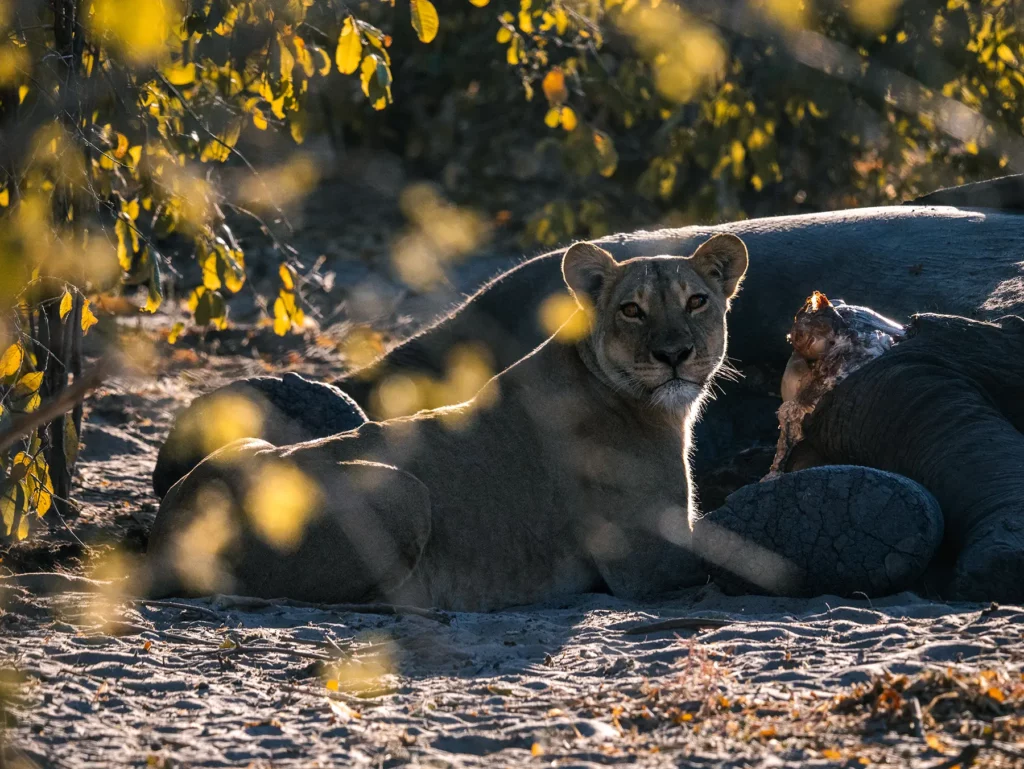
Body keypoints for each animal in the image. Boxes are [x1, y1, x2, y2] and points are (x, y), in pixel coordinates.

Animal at [146, 234, 749, 611]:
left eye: (697, 301)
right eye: (632, 310)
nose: (675, 354)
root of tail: (165, 537)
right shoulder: (645, 565)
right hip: (401, 490)